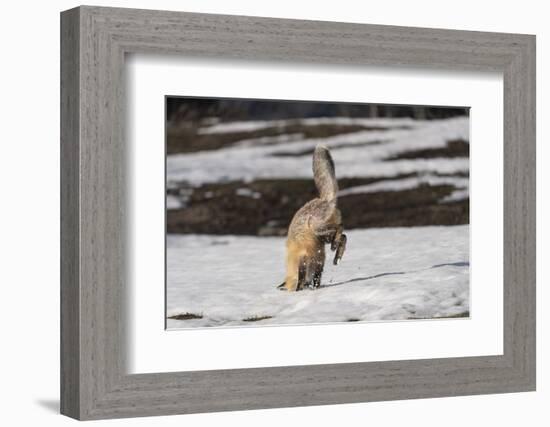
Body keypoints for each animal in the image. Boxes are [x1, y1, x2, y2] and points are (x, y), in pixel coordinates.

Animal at [280, 145, 350, 292]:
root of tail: (323, 199)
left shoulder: (303, 258)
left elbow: (302, 278)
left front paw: (300, 290)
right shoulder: (319, 262)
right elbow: (317, 279)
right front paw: (315, 289)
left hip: (317, 228)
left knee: (340, 228)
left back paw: (335, 247)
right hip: (324, 238)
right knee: (344, 236)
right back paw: (337, 256)